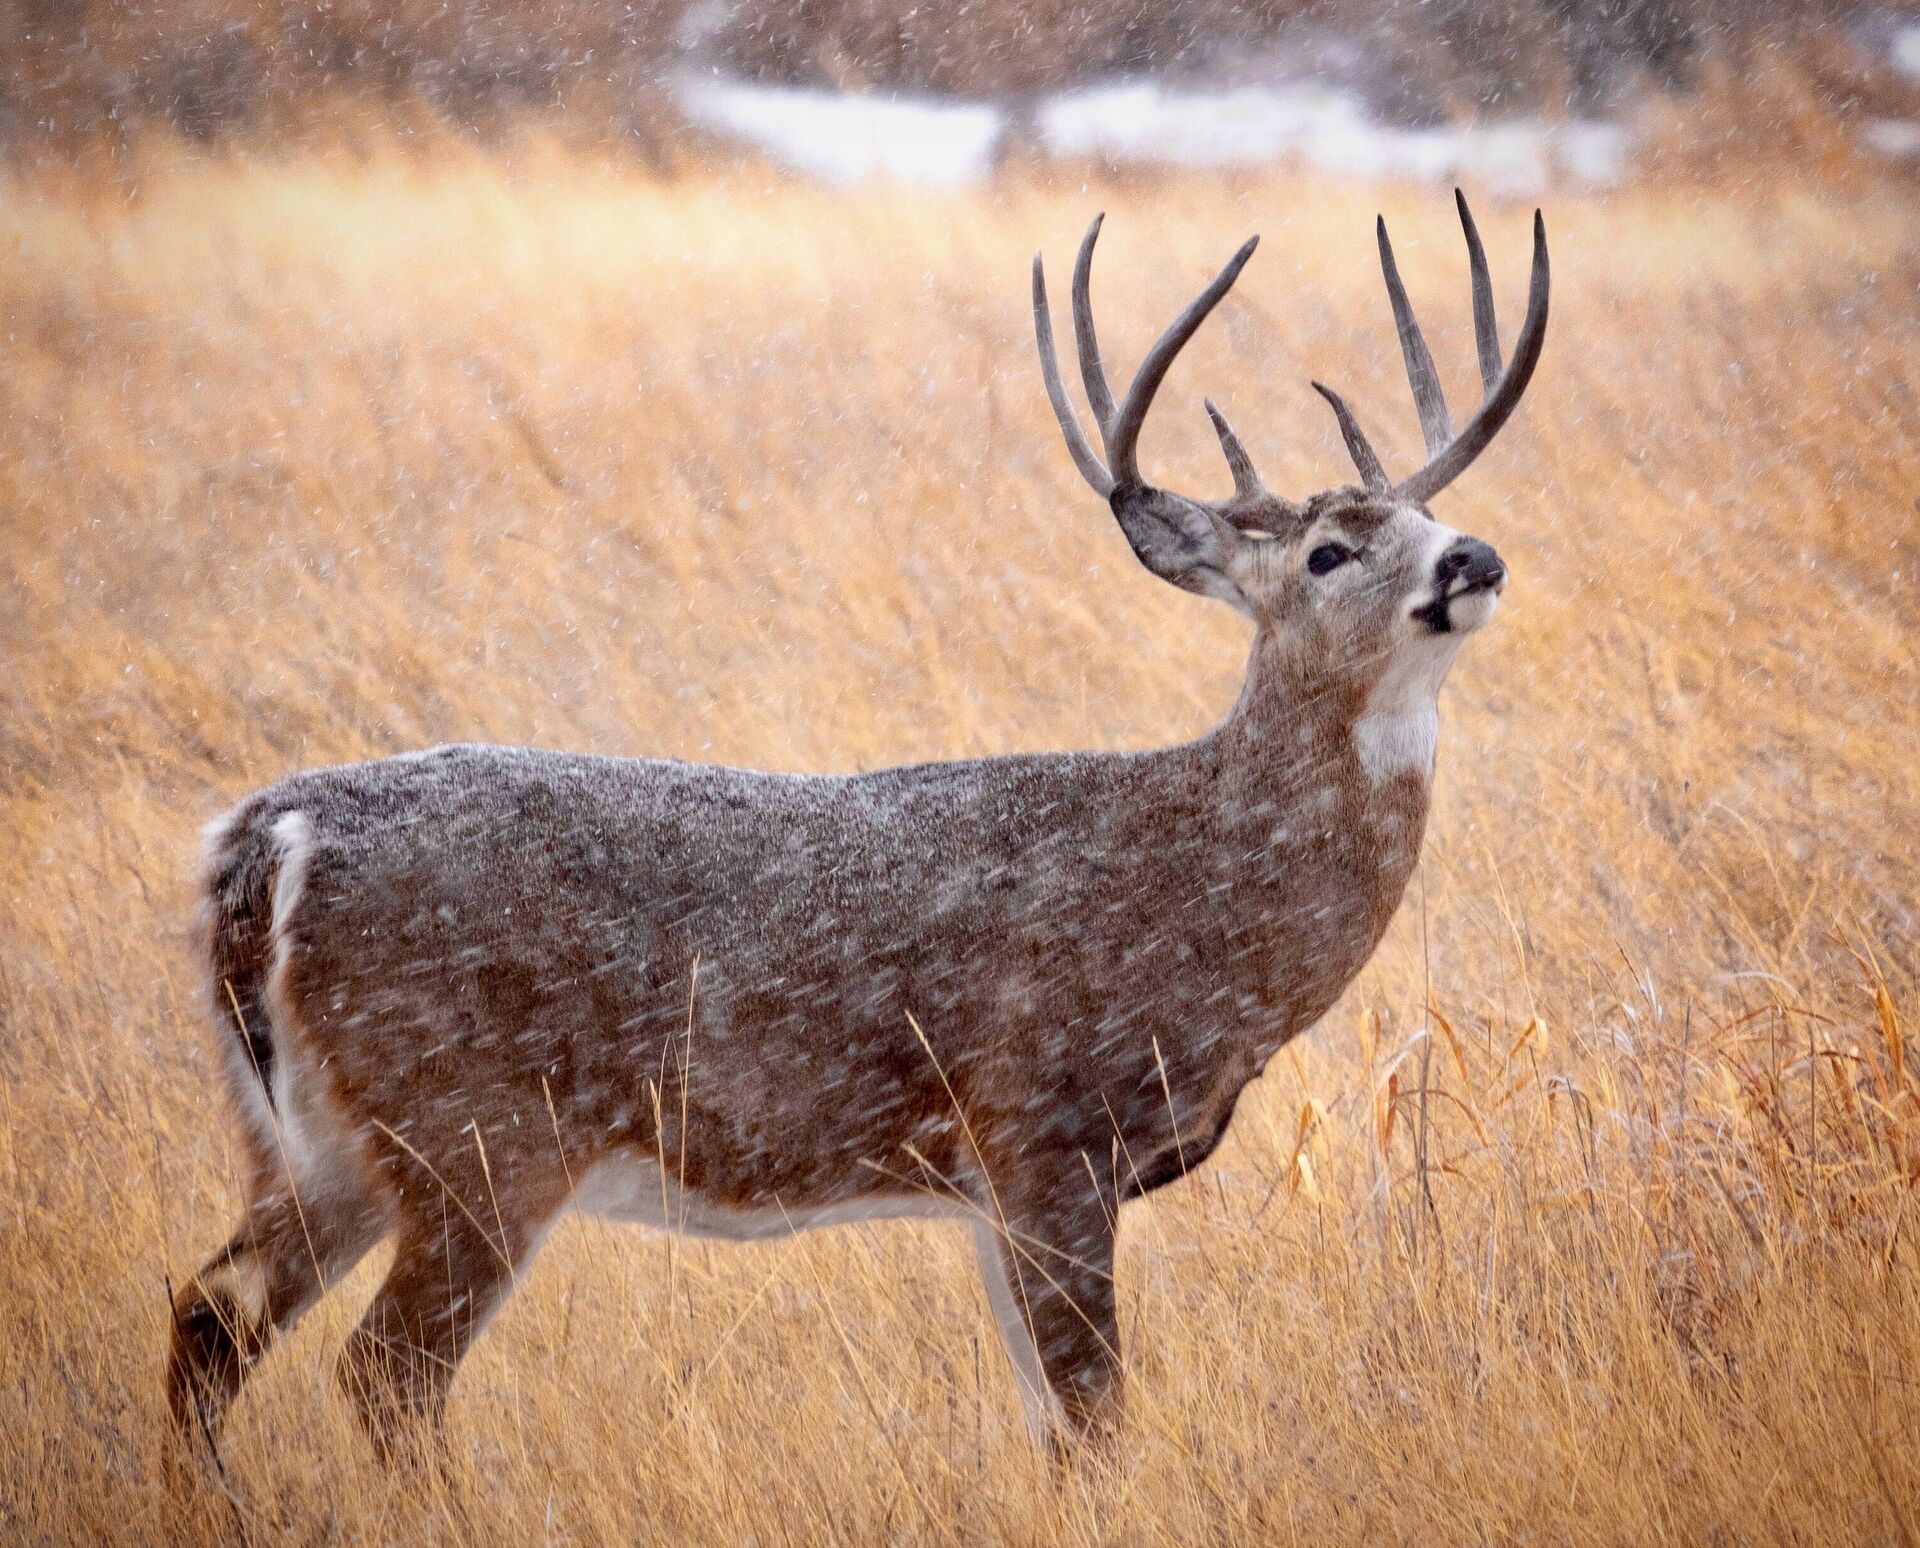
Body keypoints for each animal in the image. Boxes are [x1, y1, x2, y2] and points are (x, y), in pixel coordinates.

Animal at [167, 190, 1548, 1456]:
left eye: (1423, 517)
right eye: (1327, 553)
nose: (1473, 557)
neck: (1201, 889)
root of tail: (269, 837)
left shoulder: (996, 1189)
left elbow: (1054, 1427)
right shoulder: (1045, 1130)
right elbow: (1096, 1417)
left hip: (317, 1145)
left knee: (206, 1321)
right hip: (479, 1134)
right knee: (384, 1377)